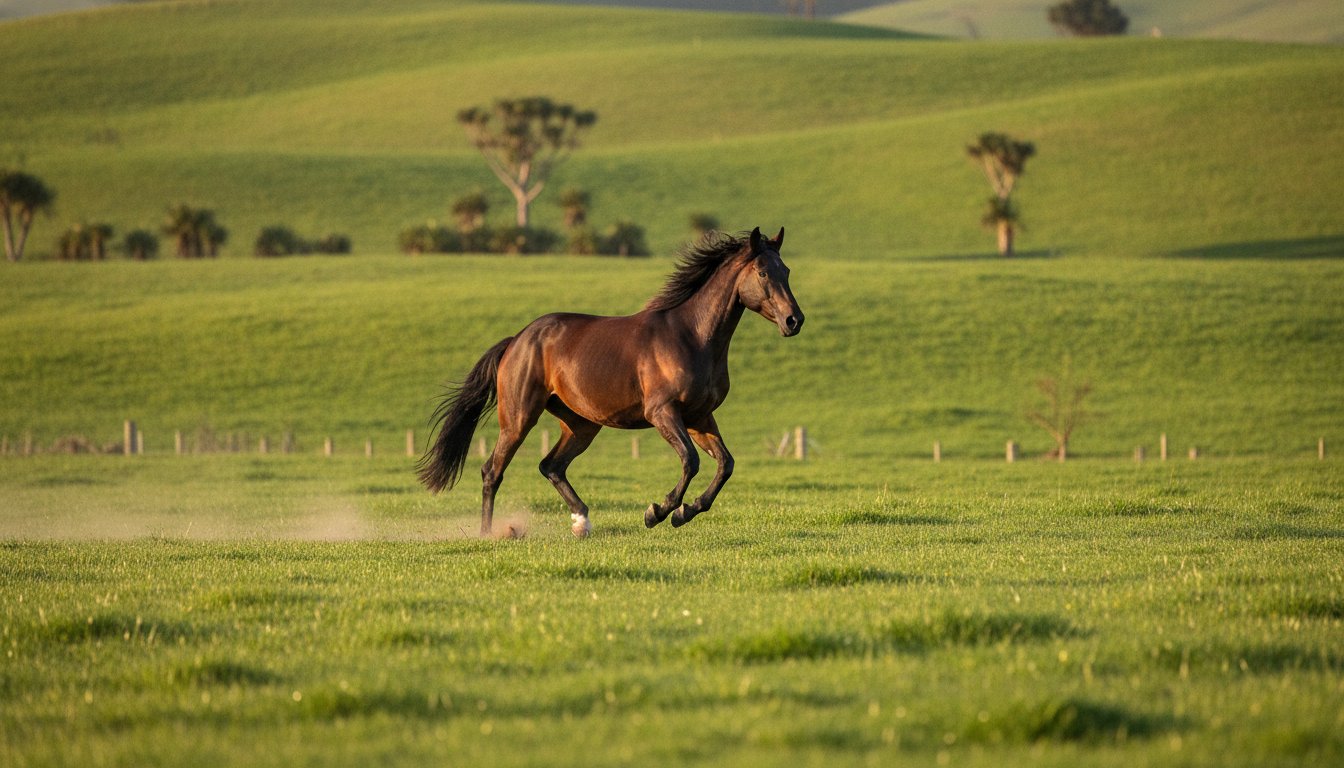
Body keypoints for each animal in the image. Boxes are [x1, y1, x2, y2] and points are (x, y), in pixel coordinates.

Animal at [417, 226, 804, 537]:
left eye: (785, 270)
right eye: (762, 272)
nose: (794, 320)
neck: (692, 337)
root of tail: (517, 340)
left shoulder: (699, 416)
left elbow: (725, 464)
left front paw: (686, 512)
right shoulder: (662, 413)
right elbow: (691, 461)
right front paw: (658, 512)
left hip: (581, 424)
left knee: (550, 466)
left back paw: (581, 522)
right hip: (519, 418)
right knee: (492, 471)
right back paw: (488, 533)